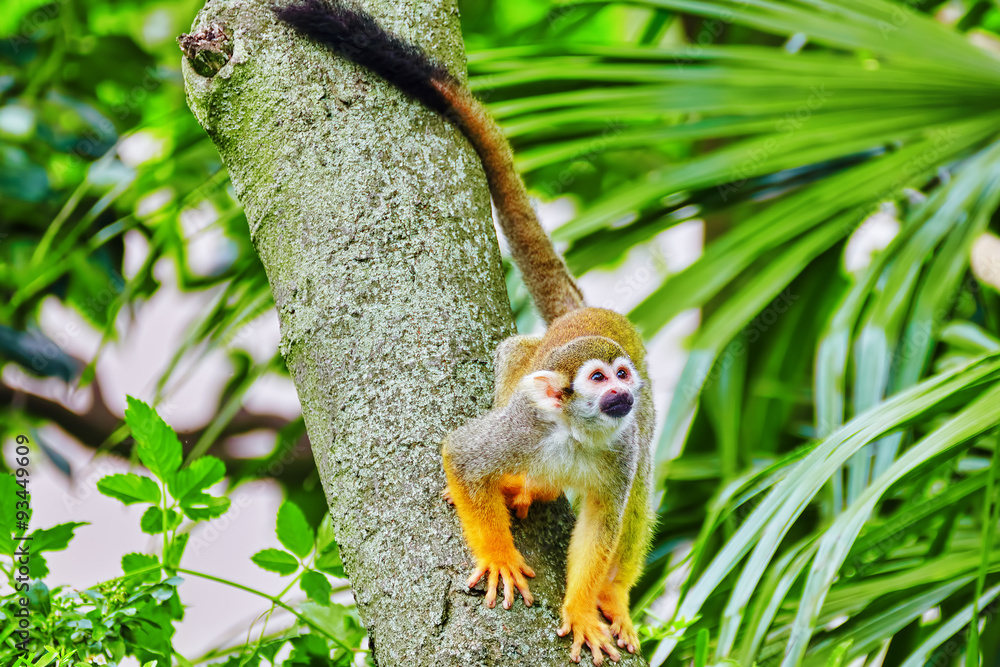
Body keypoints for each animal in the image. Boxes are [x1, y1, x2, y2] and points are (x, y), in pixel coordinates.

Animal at [274, 3, 655, 664]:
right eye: (597, 378)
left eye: (621, 376)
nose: (621, 393)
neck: (577, 433)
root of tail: (593, 314)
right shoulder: (528, 421)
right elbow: (463, 453)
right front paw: (499, 554)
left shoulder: (622, 447)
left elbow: (608, 523)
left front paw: (585, 606)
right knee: (516, 358)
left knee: (641, 494)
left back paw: (613, 595)